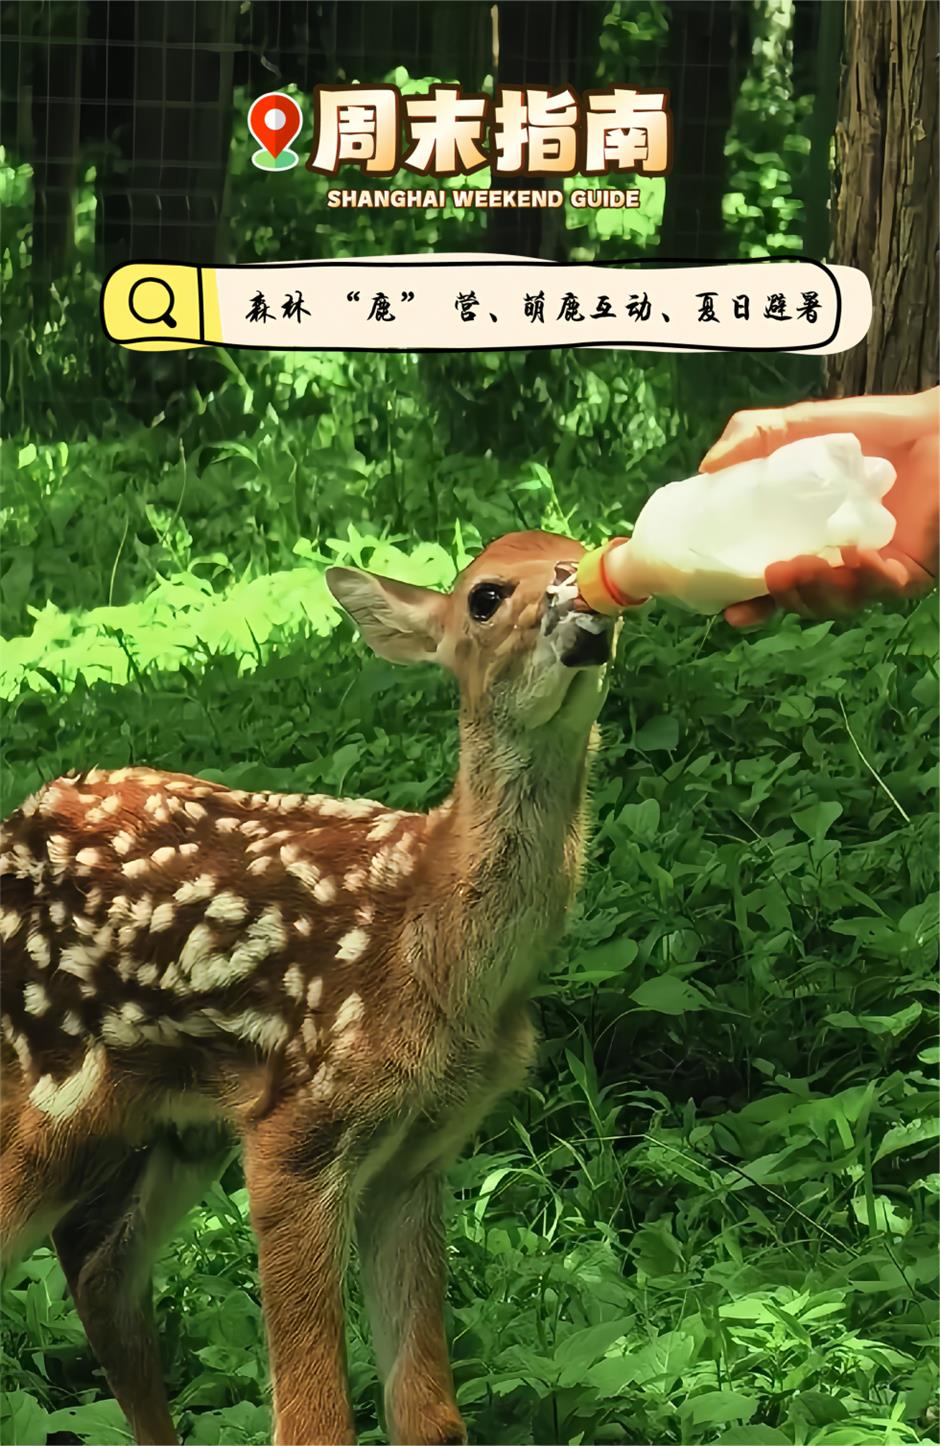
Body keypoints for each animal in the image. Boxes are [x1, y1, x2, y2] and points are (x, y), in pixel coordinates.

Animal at [0, 530, 620, 1446]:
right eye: (485, 595)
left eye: (587, 548)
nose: (582, 603)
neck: (437, 948)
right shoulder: (297, 1128)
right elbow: (314, 1420)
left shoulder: (417, 1152)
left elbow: (429, 1415)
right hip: (43, 1106)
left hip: (175, 1126)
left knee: (98, 1267)